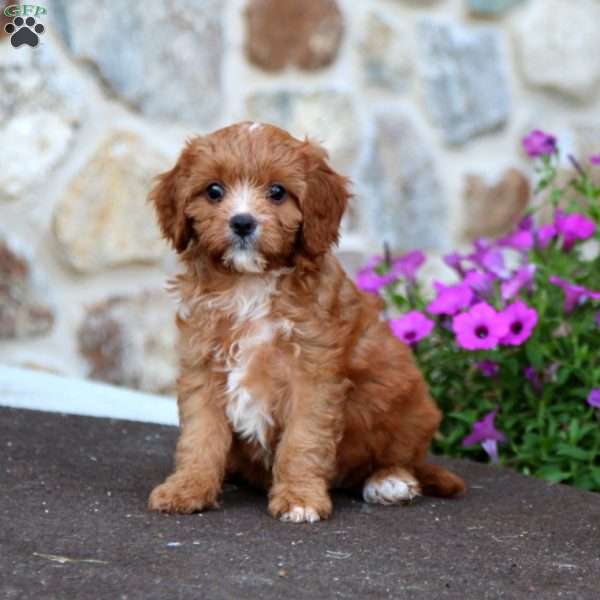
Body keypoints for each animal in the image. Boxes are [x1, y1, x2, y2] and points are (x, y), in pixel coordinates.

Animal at [146, 124, 464, 524]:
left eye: (277, 192)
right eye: (214, 191)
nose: (242, 222)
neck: (250, 283)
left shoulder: (312, 374)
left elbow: (303, 439)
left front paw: (299, 498)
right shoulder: (203, 367)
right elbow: (199, 437)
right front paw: (187, 488)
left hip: (403, 399)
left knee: (402, 457)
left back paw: (389, 481)